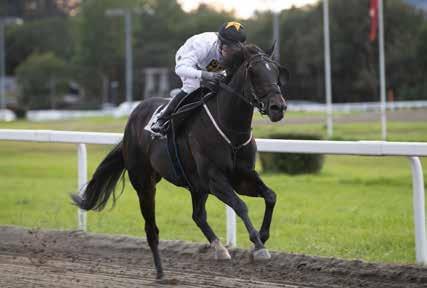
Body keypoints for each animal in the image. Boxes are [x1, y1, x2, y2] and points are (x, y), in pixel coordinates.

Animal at [72, 44, 290, 280]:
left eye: (275, 71)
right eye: (254, 72)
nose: (278, 107)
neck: (231, 129)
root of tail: (133, 119)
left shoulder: (242, 177)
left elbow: (270, 196)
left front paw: (262, 237)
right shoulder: (215, 179)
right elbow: (240, 206)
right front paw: (258, 246)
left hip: (196, 186)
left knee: (198, 215)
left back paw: (219, 248)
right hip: (145, 183)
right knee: (152, 228)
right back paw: (160, 273)